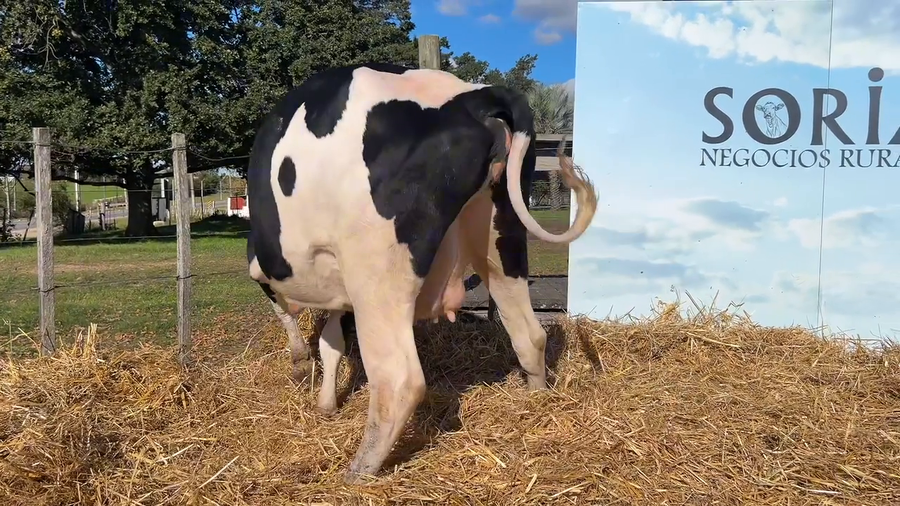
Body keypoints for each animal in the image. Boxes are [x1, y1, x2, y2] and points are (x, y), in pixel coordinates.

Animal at [245, 62, 598, 484]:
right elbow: (332, 342)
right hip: (501, 233)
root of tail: (475, 94)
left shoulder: (265, 266)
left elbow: (289, 316)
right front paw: (326, 401)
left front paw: (300, 367)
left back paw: (357, 472)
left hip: (376, 270)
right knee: (529, 333)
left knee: (399, 380)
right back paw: (537, 400)